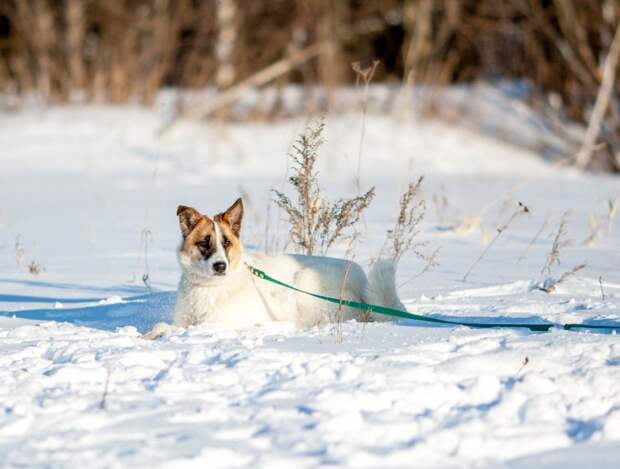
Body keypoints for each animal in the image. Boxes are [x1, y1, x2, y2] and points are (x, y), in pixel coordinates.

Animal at [144, 196, 406, 338]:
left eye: (226, 242)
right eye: (204, 243)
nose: (220, 266)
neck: (210, 288)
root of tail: (362, 288)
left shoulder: (218, 324)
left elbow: (173, 329)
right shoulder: (184, 320)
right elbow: (161, 325)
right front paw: (147, 336)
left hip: (305, 281)